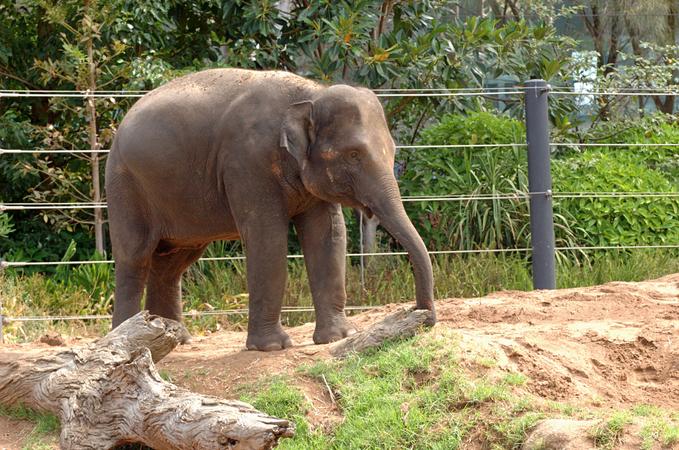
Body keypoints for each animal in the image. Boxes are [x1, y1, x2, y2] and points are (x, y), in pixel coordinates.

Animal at [105, 68, 435, 351]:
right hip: (125, 186)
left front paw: (338, 337)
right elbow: (268, 239)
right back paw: (126, 341)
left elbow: (328, 236)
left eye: (392, 150)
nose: (423, 317)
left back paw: (176, 339)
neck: (311, 94)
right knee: (135, 257)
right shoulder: (247, 163)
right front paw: (272, 347)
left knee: (173, 262)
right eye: (353, 154)